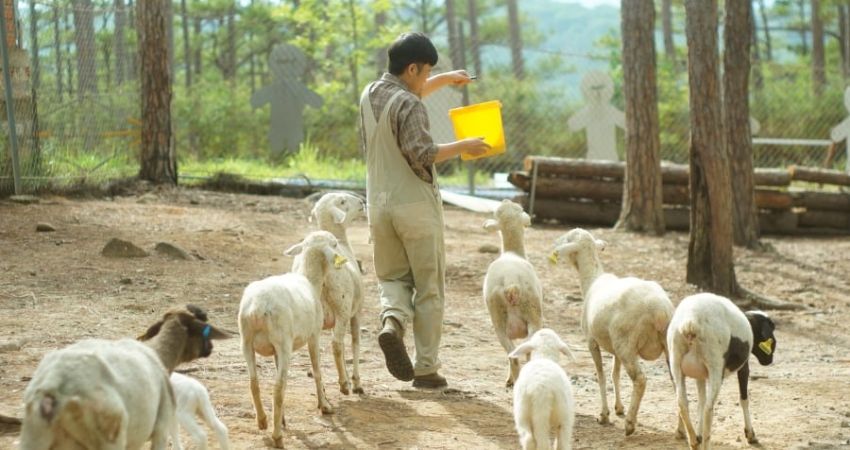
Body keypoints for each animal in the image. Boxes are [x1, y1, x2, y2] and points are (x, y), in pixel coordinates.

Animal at [20, 306, 229, 450]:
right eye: (203, 325)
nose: (210, 348)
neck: (160, 354)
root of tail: (55, 387)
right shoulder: (161, 428)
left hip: (34, 436)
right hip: (110, 436)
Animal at [237, 230, 346, 448]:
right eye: (334, 244)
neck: (310, 280)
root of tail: (257, 308)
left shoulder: (274, 351)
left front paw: (282, 418)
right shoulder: (314, 335)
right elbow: (317, 371)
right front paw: (324, 405)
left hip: (246, 342)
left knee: (254, 382)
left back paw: (263, 420)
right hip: (283, 343)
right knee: (278, 388)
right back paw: (277, 437)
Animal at [480, 200, 540, 386]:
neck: (512, 252)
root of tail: (511, 283)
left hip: (498, 320)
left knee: (512, 355)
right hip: (533, 314)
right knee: (525, 352)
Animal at [548, 229, 676, 436]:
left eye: (568, 238)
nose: (554, 243)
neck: (591, 279)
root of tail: (661, 310)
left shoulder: (591, 341)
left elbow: (600, 375)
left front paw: (604, 415)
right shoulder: (614, 348)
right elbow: (615, 374)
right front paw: (619, 408)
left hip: (626, 344)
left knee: (640, 379)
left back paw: (630, 424)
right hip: (664, 344)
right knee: (678, 382)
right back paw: (683, 432)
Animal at [668, 294, 776, 448]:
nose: (769, 360)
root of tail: (691, 322)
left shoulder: (700, 375)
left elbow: (700, 401)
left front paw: (698, 435)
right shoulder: (744, 367)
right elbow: (744, 399)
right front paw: (750, 435)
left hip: (675, 363)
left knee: (682, 403)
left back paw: (694, 442)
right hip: (715, 367)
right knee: (708, 409)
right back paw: (704, 445)